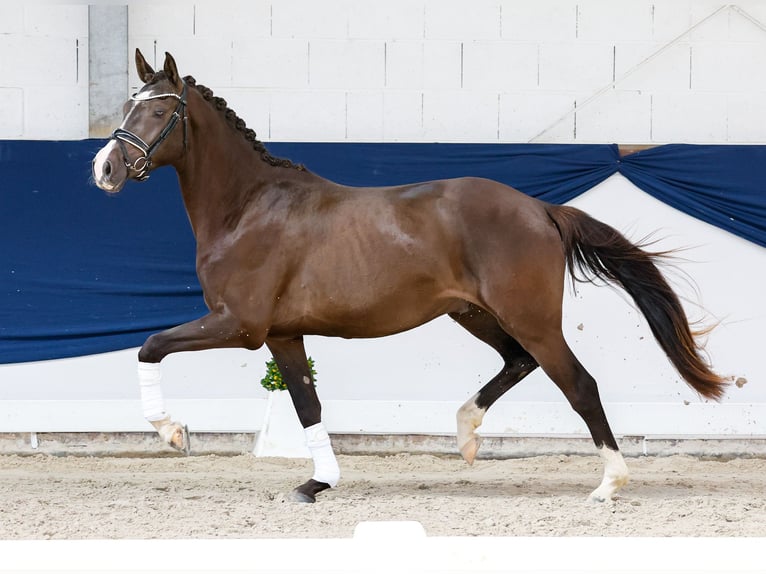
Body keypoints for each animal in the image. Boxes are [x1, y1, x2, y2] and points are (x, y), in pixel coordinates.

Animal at [92, 50, 727, 504]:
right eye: (126, 107)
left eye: (157, 111)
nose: (105, 169)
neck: (248, 207)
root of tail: (541, 208)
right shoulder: (282, 334)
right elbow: (307, 406)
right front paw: (316, 484)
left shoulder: (239, 325)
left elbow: (150, 346)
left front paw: (172, 432)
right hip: (475, 313)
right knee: (517, 361)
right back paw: (466, 435)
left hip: (531, 317)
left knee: (579, 384)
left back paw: (608, 485)